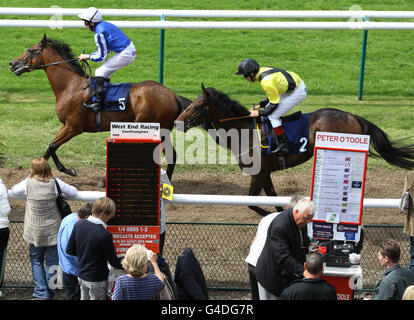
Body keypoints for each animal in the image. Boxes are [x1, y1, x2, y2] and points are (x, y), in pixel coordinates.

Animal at [9, 35, 191, 180]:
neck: (70, 86)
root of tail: (172, 94)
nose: (12, 63)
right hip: (162, 131)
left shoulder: (73, 127)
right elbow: (48, 149)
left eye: (30, 50)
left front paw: (69, 171)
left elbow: (52, 146)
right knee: (172, 156)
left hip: (149, 128)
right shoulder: (67, 126)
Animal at [176, 84, 414, 216]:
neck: (244, 131)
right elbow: (273, 199)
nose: (178, 122)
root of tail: (353, 116)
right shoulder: (265, 173)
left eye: (197, 106)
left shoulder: (258, 173)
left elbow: (253, 203)